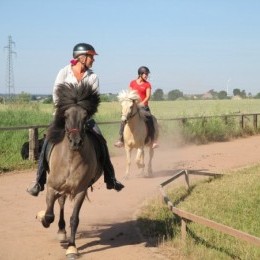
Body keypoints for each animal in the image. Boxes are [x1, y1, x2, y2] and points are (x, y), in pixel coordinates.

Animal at [36, 83, 103, 258]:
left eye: (85, 116)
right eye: (65, 115)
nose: (76, 142)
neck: (71, 159)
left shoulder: (80, 191)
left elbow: (74, 218)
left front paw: (72, 247)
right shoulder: (52, 187)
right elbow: (49, 215)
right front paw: (43, 219)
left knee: (62, 203)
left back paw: (62, 230)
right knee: (58, 204)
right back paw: (58, 229)